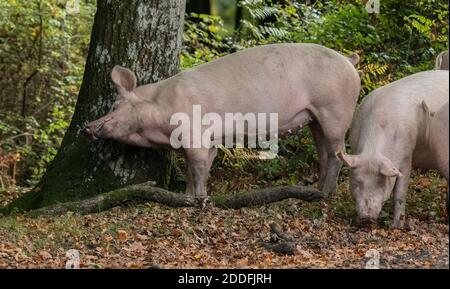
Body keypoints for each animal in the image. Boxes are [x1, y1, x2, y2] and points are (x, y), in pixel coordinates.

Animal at [82, 42, 360, 199]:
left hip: (335, 110)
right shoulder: (207, 140)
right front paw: (189, 196)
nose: (86, 126)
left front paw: (199, 199)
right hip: (315, 118)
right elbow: (198, 168)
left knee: (337, 153)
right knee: (324, 152)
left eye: (114, 105)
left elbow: (197, 167)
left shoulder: (194, 134)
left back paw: (326, 194)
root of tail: (349, 61)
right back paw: (315, 190)